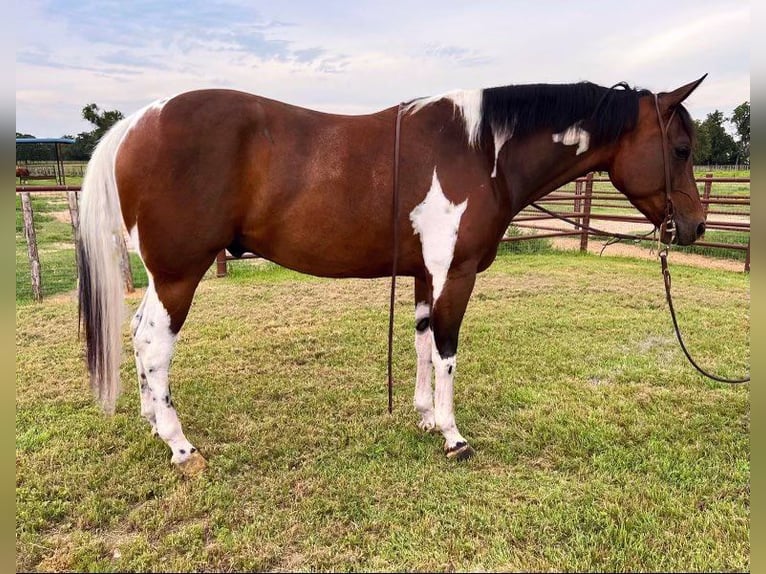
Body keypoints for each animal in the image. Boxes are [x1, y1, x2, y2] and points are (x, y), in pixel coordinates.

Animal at [76, 74, 708, 474]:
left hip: (163, 276)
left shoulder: (427, 275)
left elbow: (423, 341)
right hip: (179, 274)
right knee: (153, 342)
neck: (482, 151)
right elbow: (448, 347)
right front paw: (454, 436)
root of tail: (136, 123)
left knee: (138, 333)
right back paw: (181, 448)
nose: (696, 227)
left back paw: (150, 420)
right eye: (680, 148)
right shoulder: (455, 273)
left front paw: (425, 418)